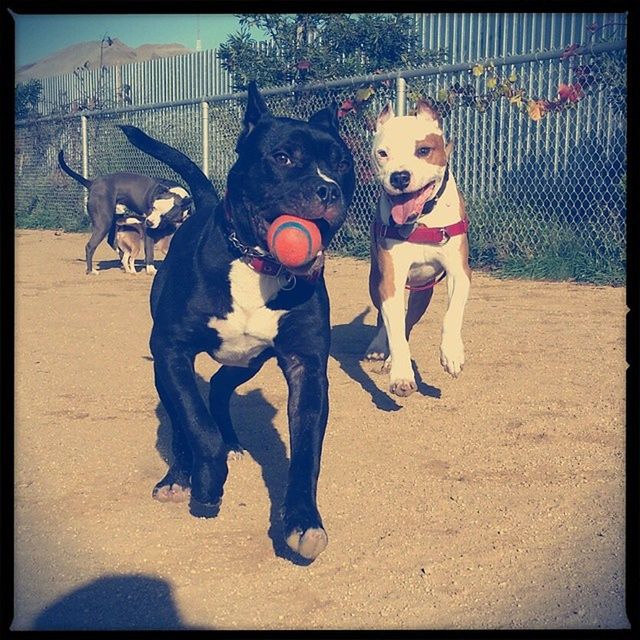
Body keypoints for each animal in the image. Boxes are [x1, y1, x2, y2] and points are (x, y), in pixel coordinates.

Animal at [120, 81, 358, 560]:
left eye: (342, 164)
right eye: (282, 157)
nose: (328, 191)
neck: (254, 263)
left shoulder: (307, 368)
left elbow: (307, 453)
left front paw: (303, 520)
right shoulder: (171, 350)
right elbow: (195, 423)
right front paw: (207, 484)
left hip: (245, 362)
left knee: (218, 389)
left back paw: (229, 443)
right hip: (165, 365)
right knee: (182, 418)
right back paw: (179, 476)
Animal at [364, 100, 470, 398]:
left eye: (423, 150)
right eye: (383, 153)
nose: (400, 177)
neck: (421, 219)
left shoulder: (460, 273)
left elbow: (452, 313)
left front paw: (452, 353)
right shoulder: (391, 279)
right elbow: (394, 328)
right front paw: (401, 375)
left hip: (423, 293)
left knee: (408, 321)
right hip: (375, 279)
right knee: (387, 319)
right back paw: (380, 348)